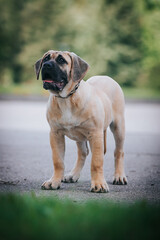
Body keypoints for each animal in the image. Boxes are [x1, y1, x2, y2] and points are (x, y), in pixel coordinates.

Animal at [35, 50, 127, 193]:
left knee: (119, 152)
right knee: (83, 153)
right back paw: (73, 175)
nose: (46, 65)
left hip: (118, 127)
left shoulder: (95, 134)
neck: (67, 98)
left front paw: (99, 184)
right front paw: (54, 181)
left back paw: (119, 176)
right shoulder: (55, 134)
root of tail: (106, 77)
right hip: (80, 136)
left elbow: (96, 162)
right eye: (45, 59)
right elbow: (58, 161)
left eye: (61, 60)